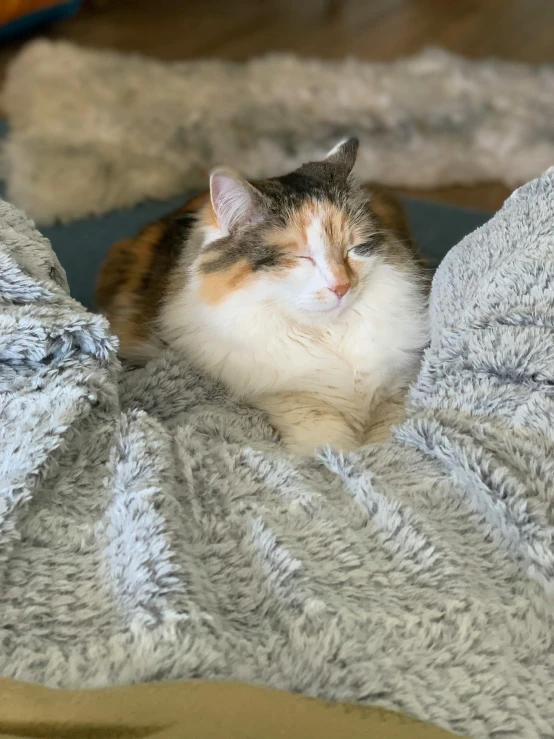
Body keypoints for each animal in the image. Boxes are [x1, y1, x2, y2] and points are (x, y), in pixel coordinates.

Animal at [97, 136, 430, 454]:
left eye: (354, 249)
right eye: (301, 258)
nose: (342, 286)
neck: (327, 336)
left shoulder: (396, 387)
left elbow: (388, 433)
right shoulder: (291, 400)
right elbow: (329, 442)